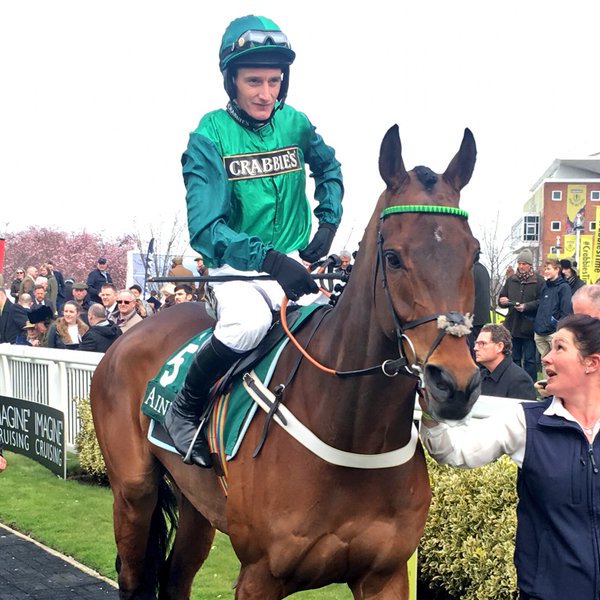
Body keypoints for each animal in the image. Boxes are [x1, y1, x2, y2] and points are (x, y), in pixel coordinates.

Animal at [90, 124, 482, 596]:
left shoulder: (384, 576)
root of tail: (129, 334)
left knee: (176, 577)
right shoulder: (260, 574)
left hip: (198, 506)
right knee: (133, 573)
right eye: (393, 257)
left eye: (475, 254)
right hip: (134, 493)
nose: (454, 384)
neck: (352, 429)